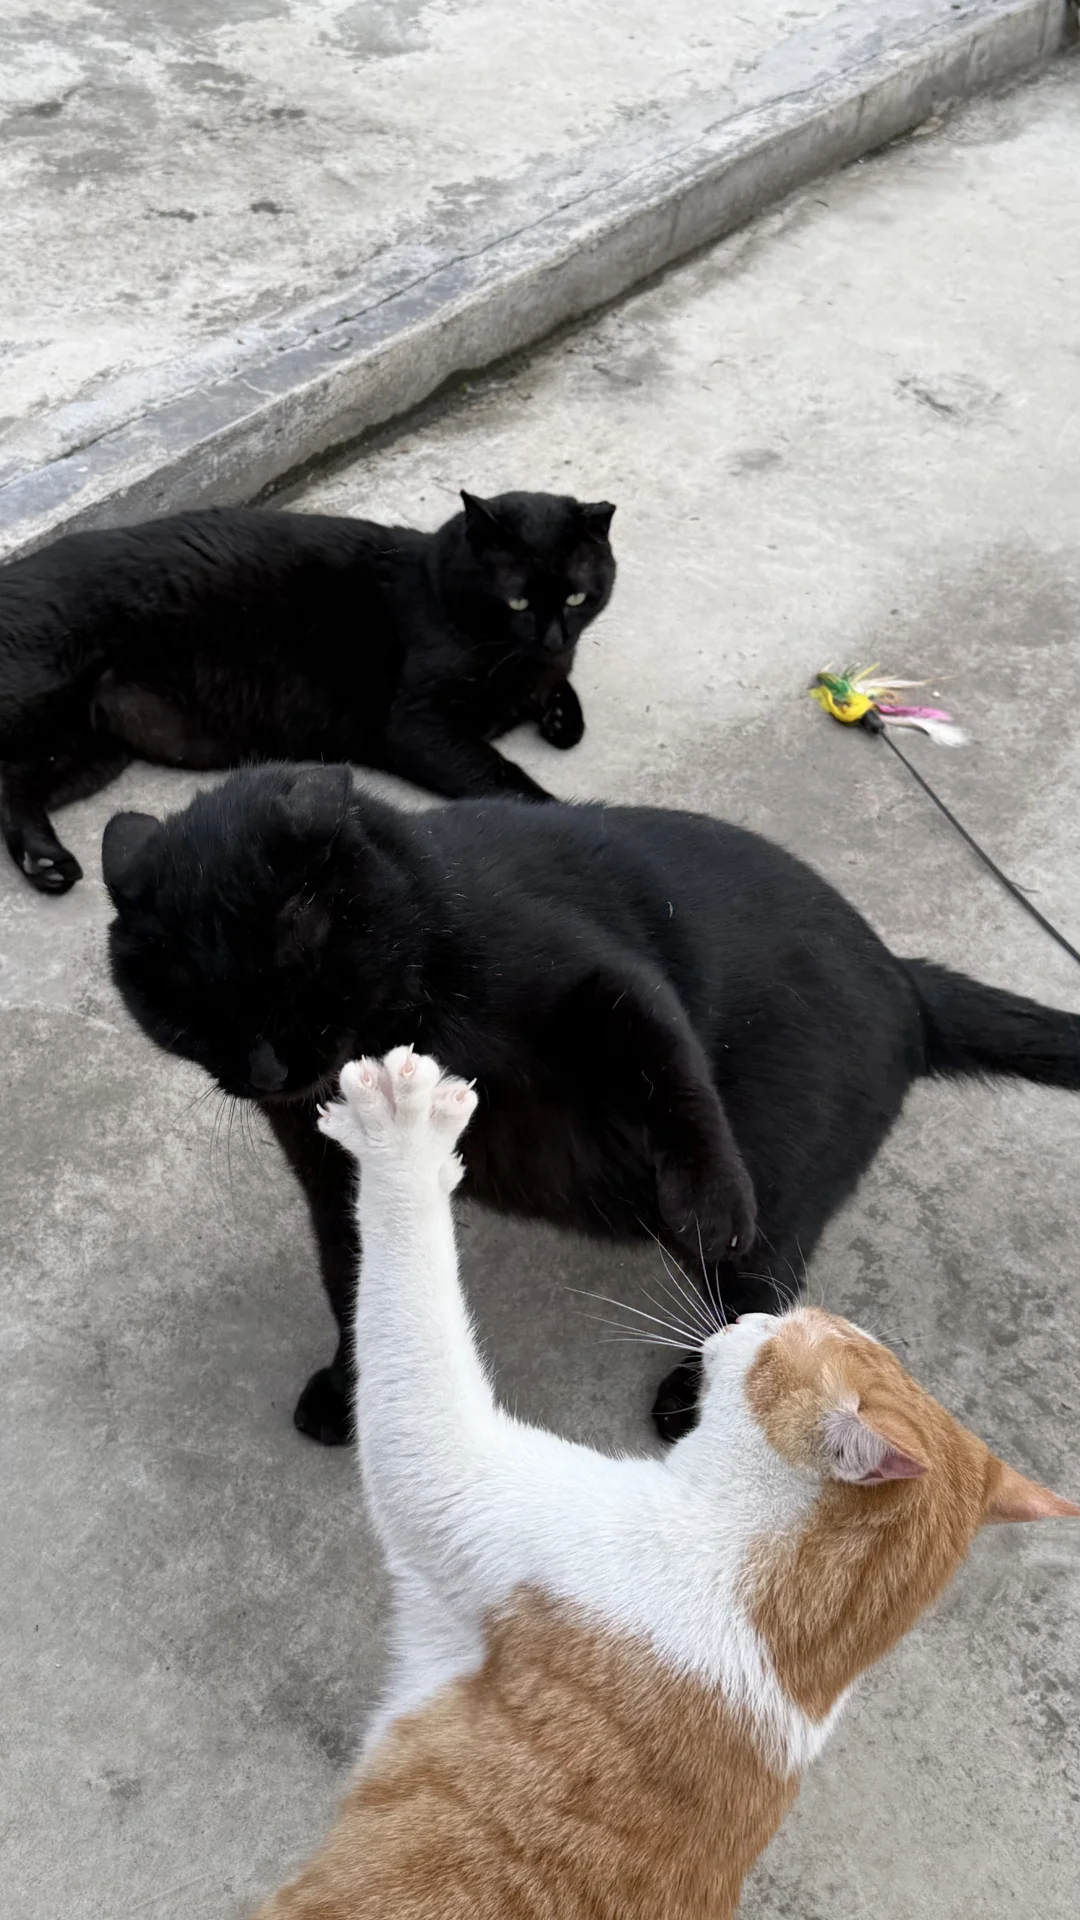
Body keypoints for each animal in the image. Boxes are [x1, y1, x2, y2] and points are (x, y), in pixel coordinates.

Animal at [0, 488, 615, 892]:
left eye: (577, 598)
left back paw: (45, 863)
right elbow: (501, 775)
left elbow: (563, 694)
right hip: (42, 704)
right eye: (517, 601)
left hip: (90, 747)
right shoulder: (419, 725)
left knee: (14, 785)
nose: (553, 636)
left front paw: (561, 717)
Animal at [102, 762, 1080, 1449]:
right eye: (185, 1018)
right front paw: (352, 1390)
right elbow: (354, 1282)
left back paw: (698, 1391)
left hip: (778, 1185)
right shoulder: (337, 1179)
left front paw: (706, 1193)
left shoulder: (596, 980)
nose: (264, 1070)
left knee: (757, 1289)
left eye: (284, 992)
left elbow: (669, 1064)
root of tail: (907, 978)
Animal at [254, 1046, 1077, 1919]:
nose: (745, 1317)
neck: (789, 1642)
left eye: (781, 1336)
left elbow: (413, 1305)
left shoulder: (453, 1469)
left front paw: (402, 1138)